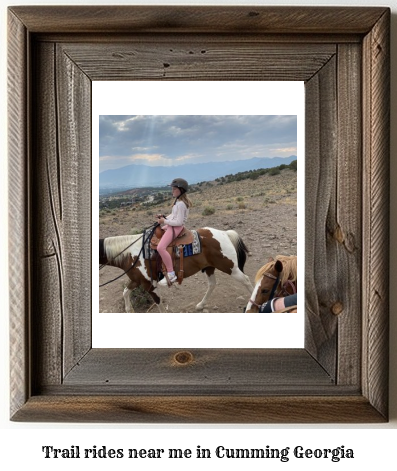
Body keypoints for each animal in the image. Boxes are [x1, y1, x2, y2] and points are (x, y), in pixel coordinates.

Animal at [100, 229, 252, 314]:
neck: (130, 253)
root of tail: (224, 233)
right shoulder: (136, 280)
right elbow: (125, 292)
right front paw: (129, 310)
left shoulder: (150, 285)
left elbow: (159, 304)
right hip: (210, 267)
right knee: (212, 285)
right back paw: (200, 305)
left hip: (230, 267)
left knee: (247, 280)